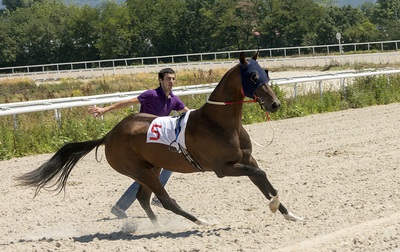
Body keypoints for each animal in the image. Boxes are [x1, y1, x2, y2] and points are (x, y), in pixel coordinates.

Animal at [16, 52, 304, 225]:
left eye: (267, 73)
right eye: (253, 76)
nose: (275, 104)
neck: (220, 124)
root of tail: (109, 135)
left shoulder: (247, 159)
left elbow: (264, 180)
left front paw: (291, 214)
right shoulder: (224, 168)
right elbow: (260, 175)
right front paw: (276, 206)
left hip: (150, 168)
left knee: (144, 198)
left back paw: (156, 226)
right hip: (140, 171)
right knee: (164, 200)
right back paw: (199, 221)